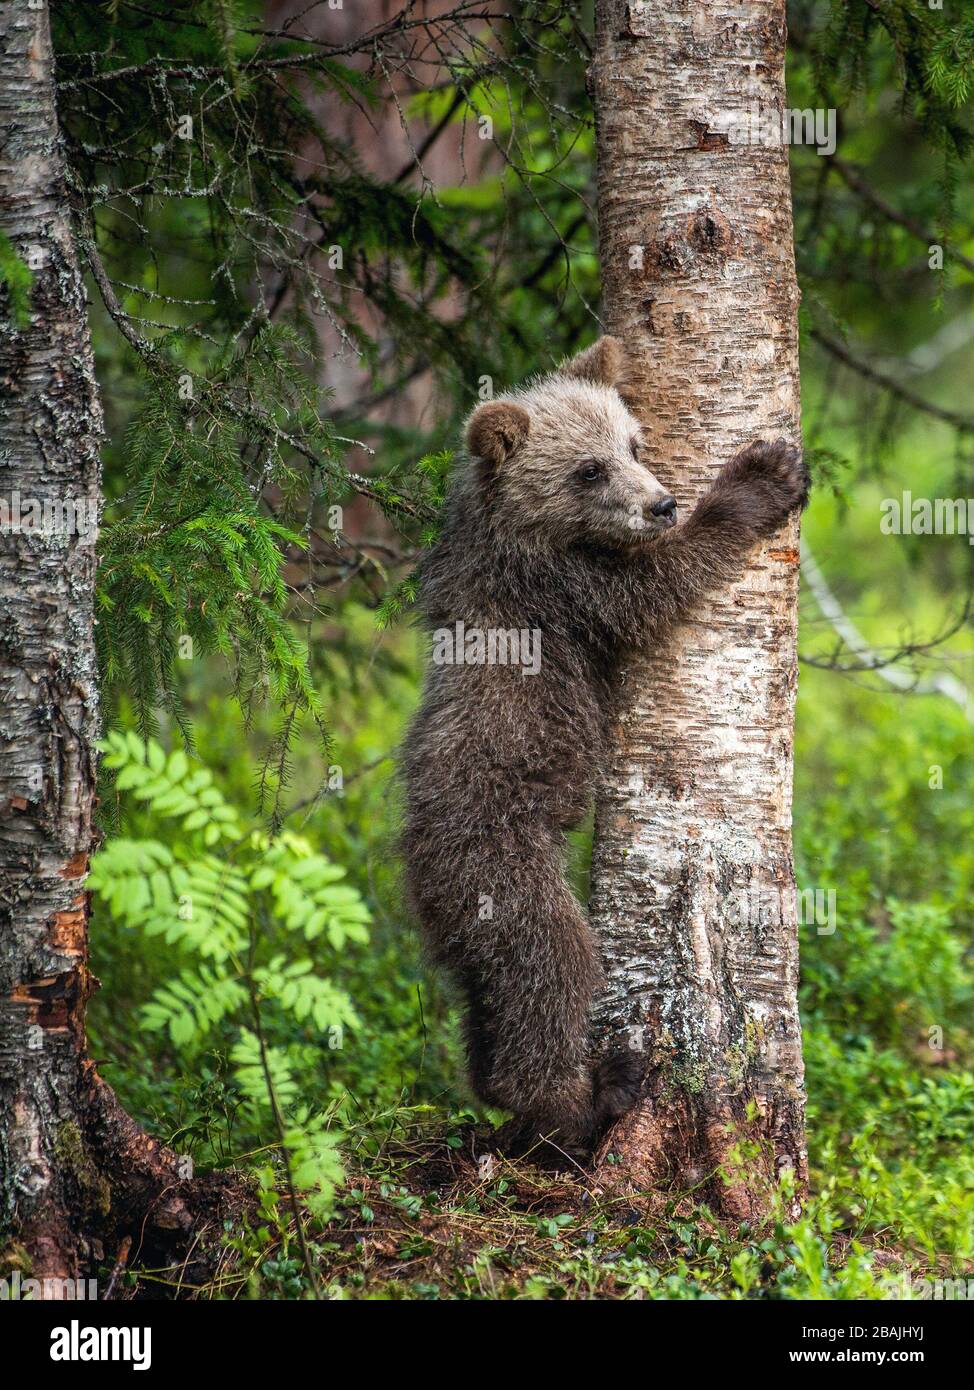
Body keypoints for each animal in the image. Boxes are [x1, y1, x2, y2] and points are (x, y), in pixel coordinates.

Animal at [401, 335, 808, 1160]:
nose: (661, 503)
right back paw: (591, 1097)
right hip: (501, 864)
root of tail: (416, 869)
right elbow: (658, 585)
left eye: (634, 443)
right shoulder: (565, 591)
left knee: (488, 1005)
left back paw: (506, 1093)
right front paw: (764, 477)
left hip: (469, 922)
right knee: (552, 968)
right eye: (587, 469)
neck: (524, 535)